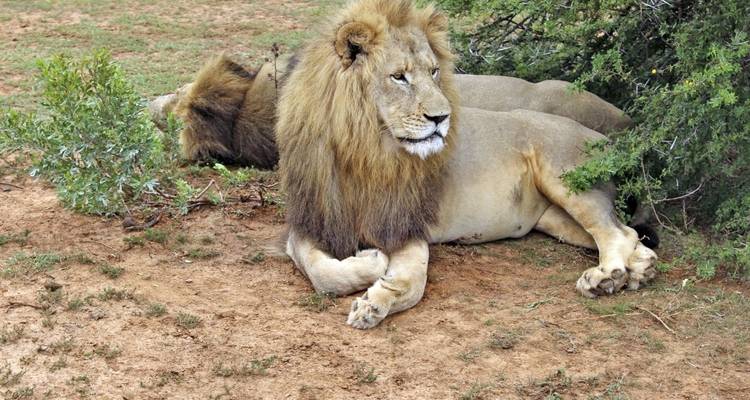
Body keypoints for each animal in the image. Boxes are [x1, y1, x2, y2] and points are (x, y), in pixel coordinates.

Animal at [275, 0, 657, 329]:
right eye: (398, 76)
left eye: (434, 72)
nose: (442, 117)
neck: (365, 152)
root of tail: (605, 139)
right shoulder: (312, 221)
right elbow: (323, 274)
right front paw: (369, 265)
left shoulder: (406, 225)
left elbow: (411, 283)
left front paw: (375, 296)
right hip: (555, 220)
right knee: (630, 236)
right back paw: (639, 270)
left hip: (564, 176)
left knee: (618, 233)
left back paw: (606, 278)